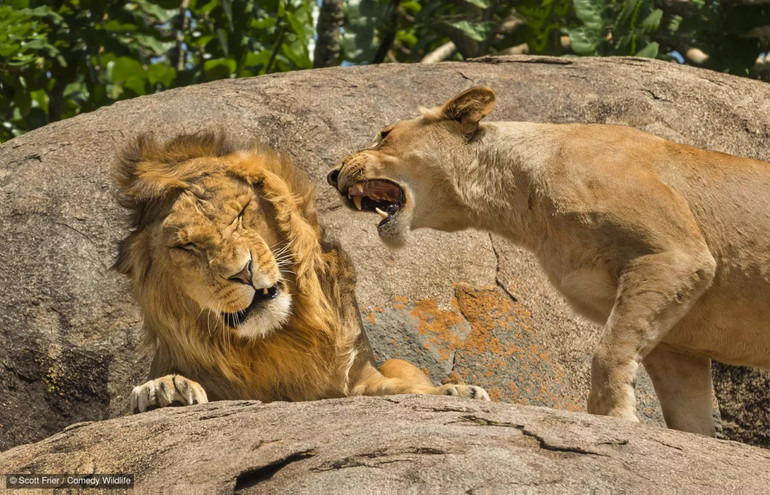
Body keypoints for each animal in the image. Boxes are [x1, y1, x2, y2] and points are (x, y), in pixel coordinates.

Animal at [114, 130, 486, 412]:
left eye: (241, 213)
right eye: (186, 246)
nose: (243, 272)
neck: (276, 339)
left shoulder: (357, 377)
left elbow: (399, 389)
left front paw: (454, 391)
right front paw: (163, 389)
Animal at [328, 87, 768, 436]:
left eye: (384, 135)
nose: (333, 174)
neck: (522, 201)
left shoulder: (675, 255)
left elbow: (608, 352)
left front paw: (613, 419)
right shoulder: (677, 341)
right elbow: (688, 415)